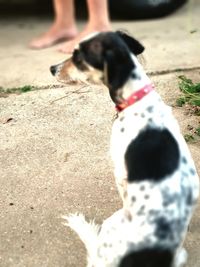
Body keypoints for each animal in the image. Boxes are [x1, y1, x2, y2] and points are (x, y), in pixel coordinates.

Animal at [50, 31, 199, 267]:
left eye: (78, 57)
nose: (52, 68)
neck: (136, 99)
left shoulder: (120, 171)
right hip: (179, 254)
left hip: (112, 222)